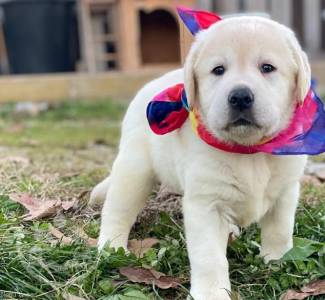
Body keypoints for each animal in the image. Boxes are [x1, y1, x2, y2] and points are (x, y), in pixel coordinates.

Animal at [90, 15, 308, 300]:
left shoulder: (285, 192)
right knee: (117, 210)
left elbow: (280, 230)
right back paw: (111, 246)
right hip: (134, 170)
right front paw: (211, 293)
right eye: (218, 70)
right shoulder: (205, 205)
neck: (248, 151)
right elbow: (209, 257)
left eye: (267, 67)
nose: (240, 96)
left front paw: (277, 261)